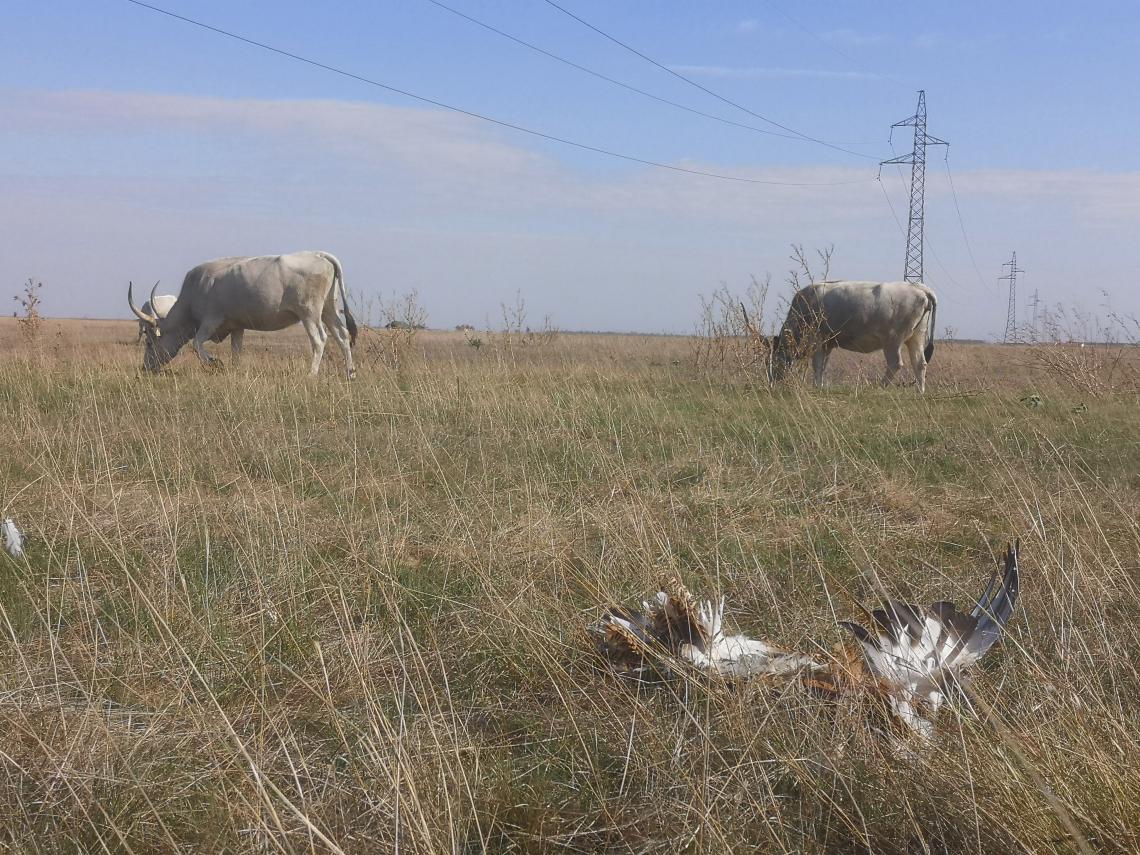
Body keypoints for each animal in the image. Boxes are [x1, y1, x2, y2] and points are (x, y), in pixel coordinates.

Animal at [127, 250, 355, 378]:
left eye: (149, 343)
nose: (145, 368)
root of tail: (319, 254)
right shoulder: (237, 327)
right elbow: (236, 351)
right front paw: (234, 371)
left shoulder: (210, 321)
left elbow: (197, 344)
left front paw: (214, 363)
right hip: (328, 310)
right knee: (342, 336)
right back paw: (350, 373)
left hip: (309, 313)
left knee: (320, 339)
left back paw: (311, 374)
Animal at [770, 279, 939, 394]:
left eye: (771, 359)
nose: (771, 381)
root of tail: (917, 287)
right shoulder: (827, 344)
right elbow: (823, 366)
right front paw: (821, 386)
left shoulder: (817, 340)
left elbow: (817, 365)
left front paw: (816, 387)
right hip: (916, 337)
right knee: (920, 363)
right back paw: (920, 391)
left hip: (893, 340)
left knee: (895, 363)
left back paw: (879, 387)